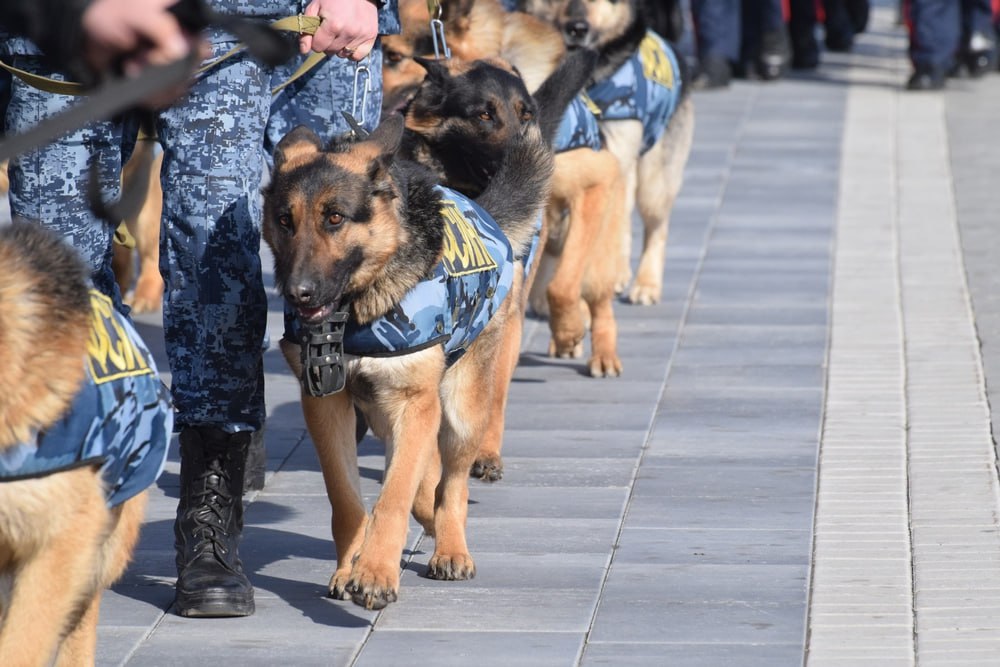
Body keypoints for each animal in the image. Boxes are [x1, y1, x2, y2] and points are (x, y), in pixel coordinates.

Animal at [262, 64, 552, 612]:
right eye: (285, 221)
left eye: (335, 217)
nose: (297, 292)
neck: (357, 309)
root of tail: (484, 213)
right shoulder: (327, 407)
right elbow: (347, 499)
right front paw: (350, 564)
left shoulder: (414, 403)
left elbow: (393, 496)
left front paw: (375, 572)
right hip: (385, 413)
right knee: (427, 478)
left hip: (459, 409)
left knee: (452, 483)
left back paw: (451, 547)